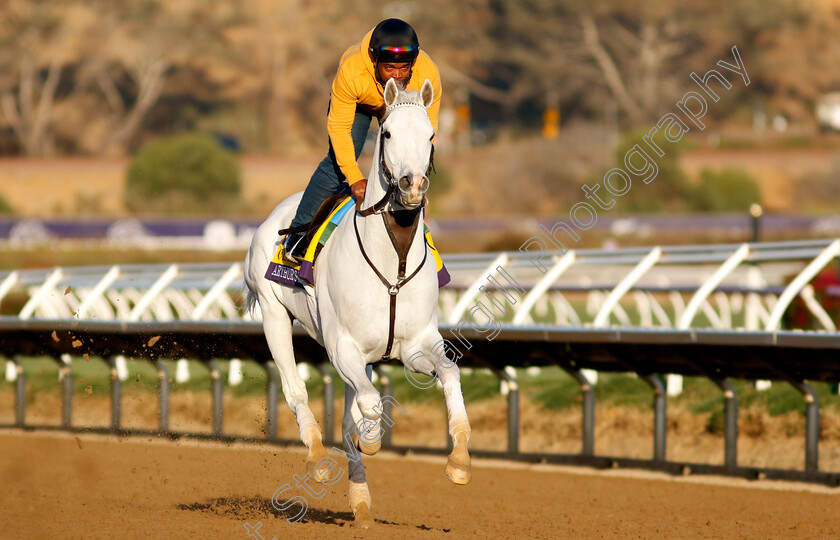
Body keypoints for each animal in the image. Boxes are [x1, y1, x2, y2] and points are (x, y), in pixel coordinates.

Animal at [246, 79, 472, 528]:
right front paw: (370, 438)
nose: (412, 184)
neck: (392, 261)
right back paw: (318, 456)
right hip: (273, 315)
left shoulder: (415, 345)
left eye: (431, 136)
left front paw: (458, 458)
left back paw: (362, 504)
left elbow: (449, 373)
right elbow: (368, 404)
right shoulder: (342, 347)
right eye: (387, 133)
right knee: (295, 389)